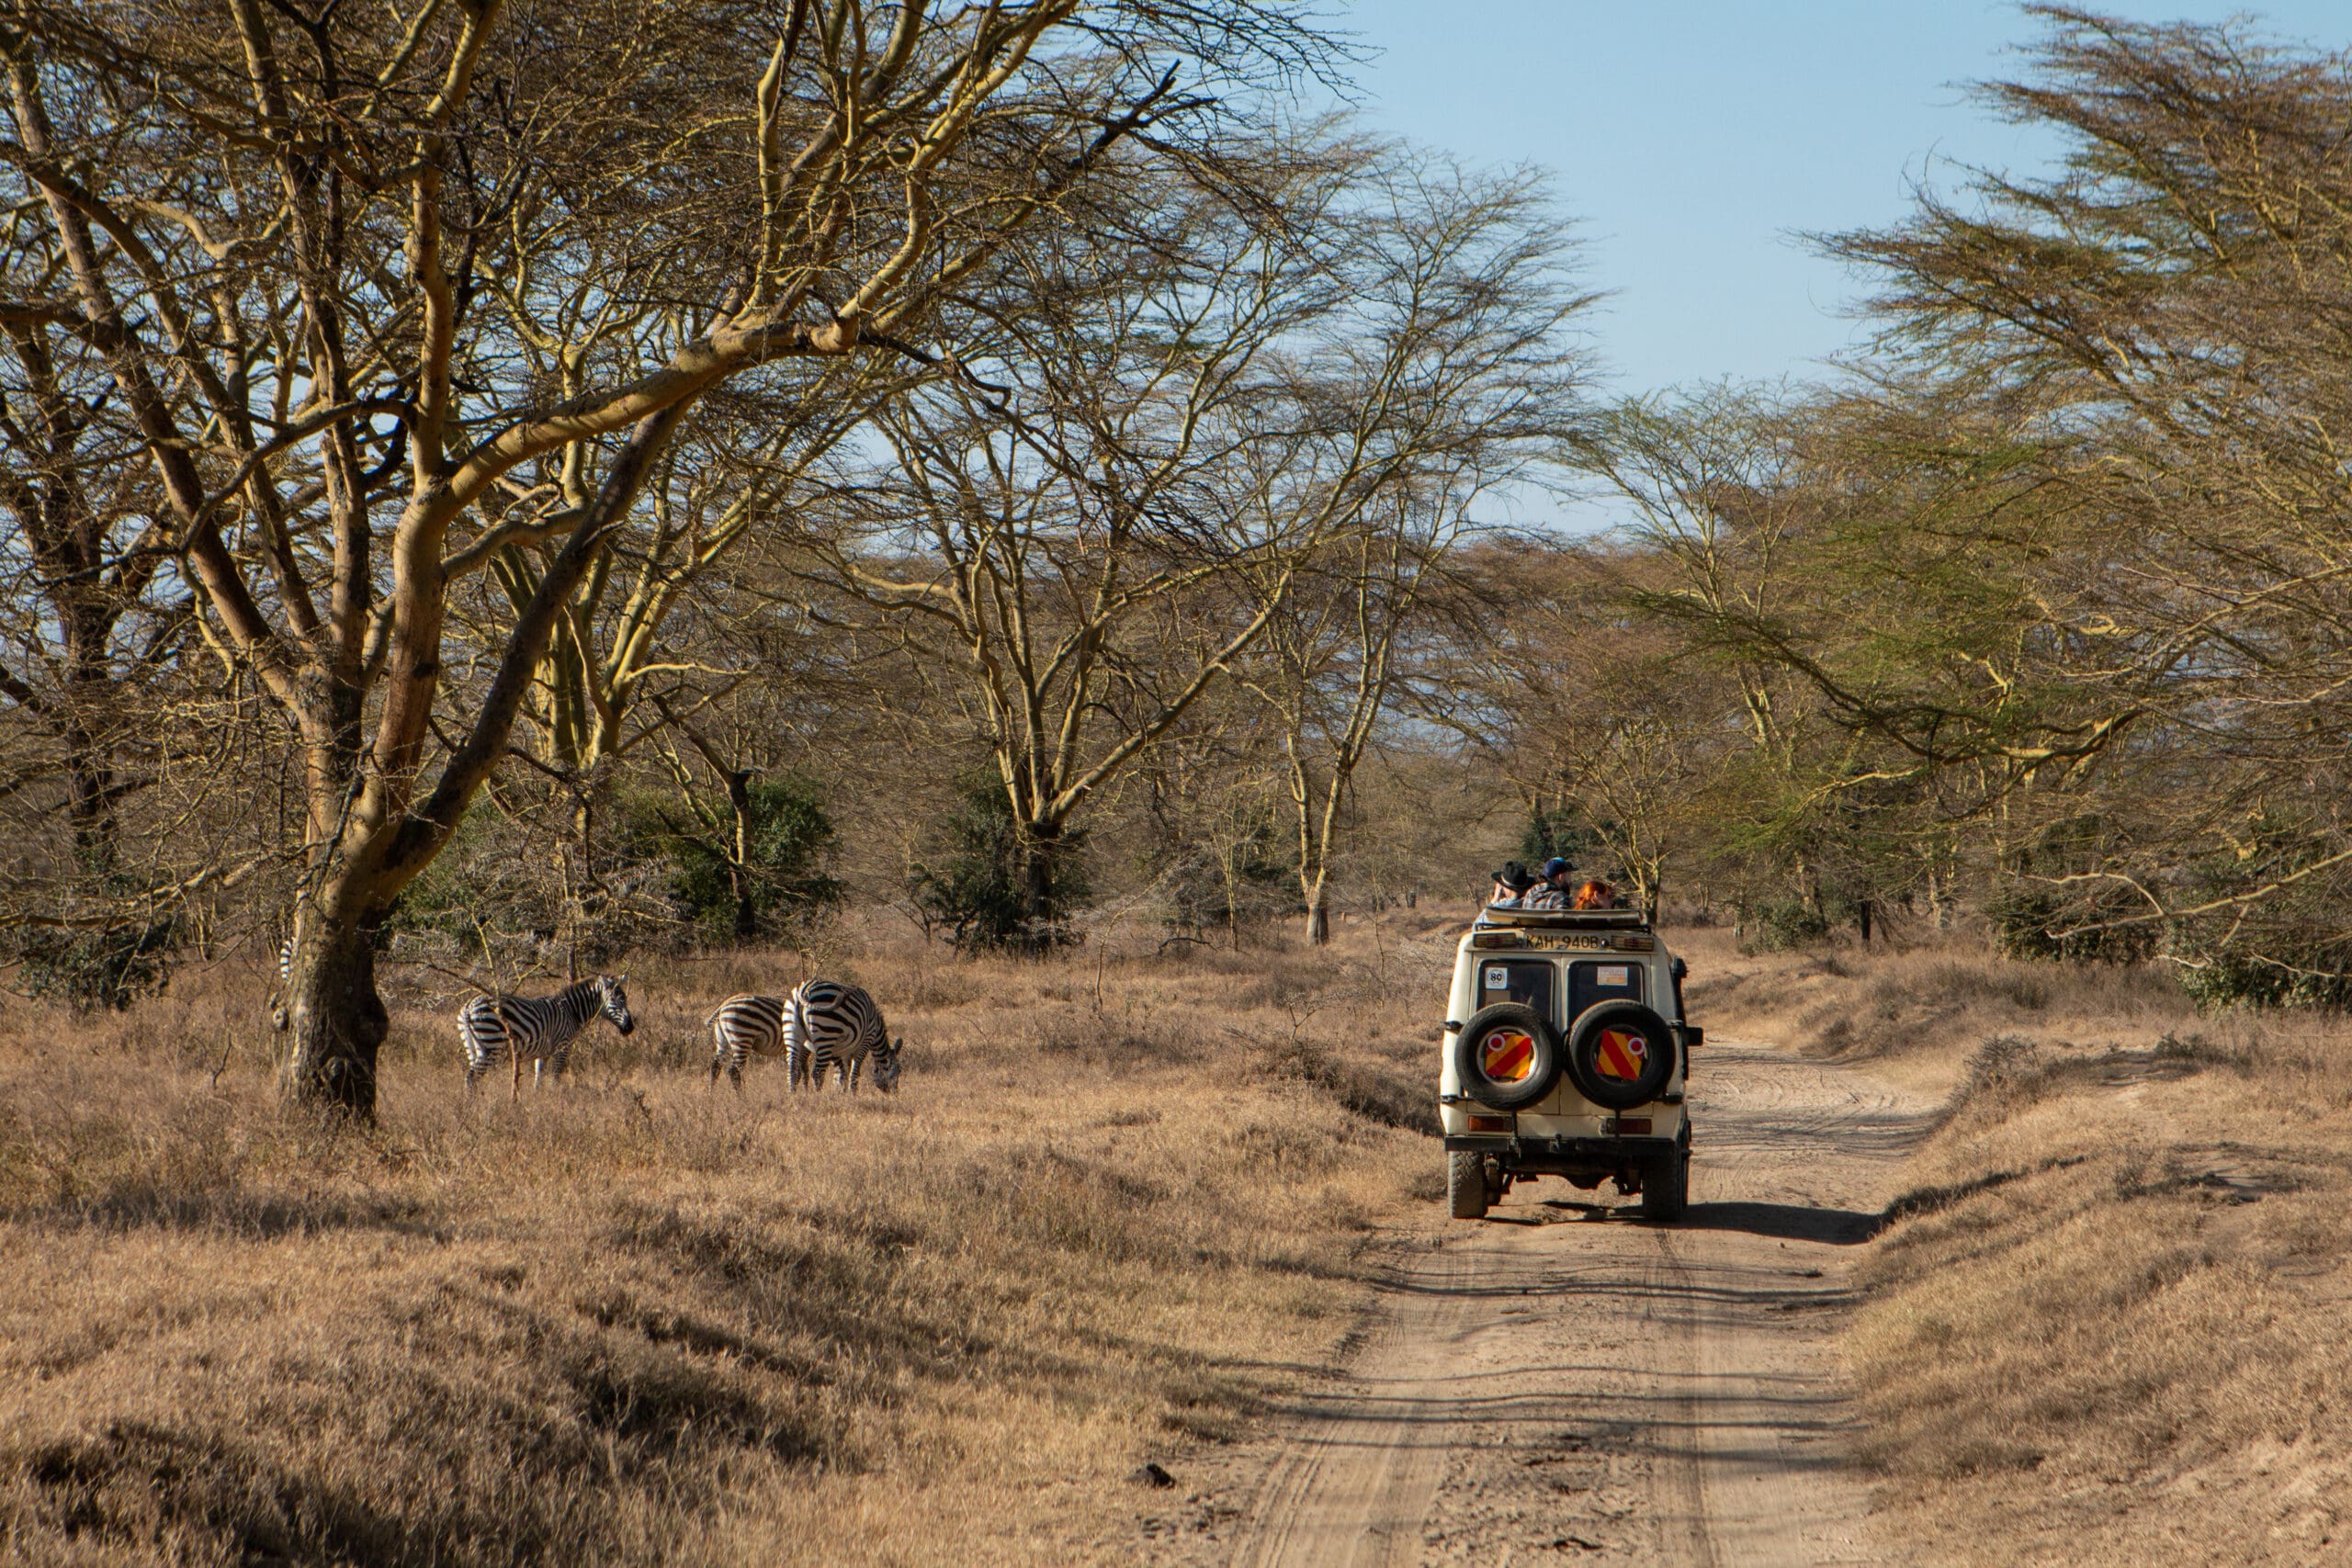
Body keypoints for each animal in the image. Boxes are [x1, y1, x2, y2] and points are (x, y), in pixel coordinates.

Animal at [459, 974, 635, 1101]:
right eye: (617, 1001)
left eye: (625, 1000)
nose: (630, 1028)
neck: (572, 1011)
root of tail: (469, 1006)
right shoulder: (562, 1047)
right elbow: (554, 1078)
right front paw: (554, 1101)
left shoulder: (542, 1053)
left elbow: (538, 1079)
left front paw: (538, 1101)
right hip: (491, 1044)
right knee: (471, 1079)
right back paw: (471, 1107)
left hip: (472, 1046)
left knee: (471, 1077)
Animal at [704, 979, 901, 1094]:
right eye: (898, 1072)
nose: (895, 1095)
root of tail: (723, 1006)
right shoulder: (862, 1041)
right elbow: (852, 1071)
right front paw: (848, 1094)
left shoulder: (821, 1047)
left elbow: (815, 1070)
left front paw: (832, 1092)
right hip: (743, 1037)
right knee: (734, 1070)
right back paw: (742, 1096)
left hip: (725, 1039)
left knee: (716, 1067)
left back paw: (712, 1094)